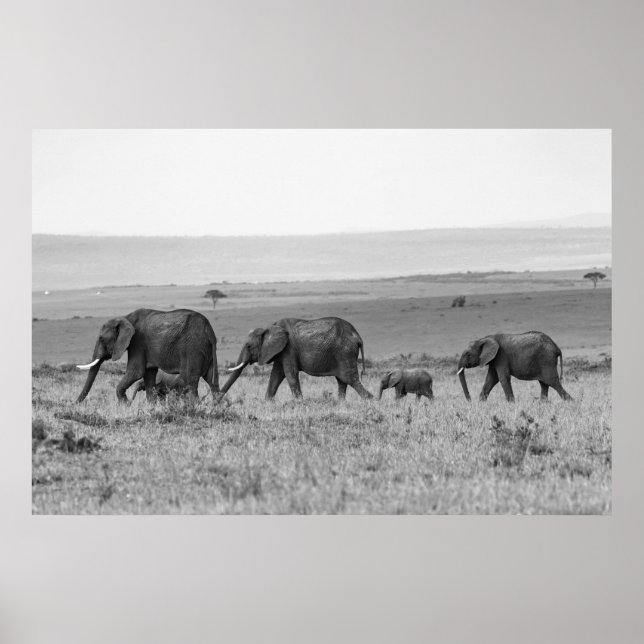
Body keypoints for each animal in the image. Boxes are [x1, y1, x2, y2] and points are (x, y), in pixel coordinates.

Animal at [76, 308, 220, 403]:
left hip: (193, 348)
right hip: (206, 350)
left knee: (190, 382)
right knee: (212, 381)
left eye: (101, 339)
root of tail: (210, 330)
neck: (126, 317)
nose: (75, 404)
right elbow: (149, 375)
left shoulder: (137, 342)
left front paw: (126, 405)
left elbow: (136, 372)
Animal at [221, 317, 373, 400]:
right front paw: (267, 402)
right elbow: (276, 376)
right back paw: (340, 404)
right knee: (342, 381)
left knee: (350, 379)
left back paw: (371, 400)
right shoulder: (281, 351)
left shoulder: (289, 349)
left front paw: (300, 403)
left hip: (344, 352)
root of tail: (358, 336)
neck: (269, 328)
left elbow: (290, 374)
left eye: (248, 346)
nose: (217, 401)